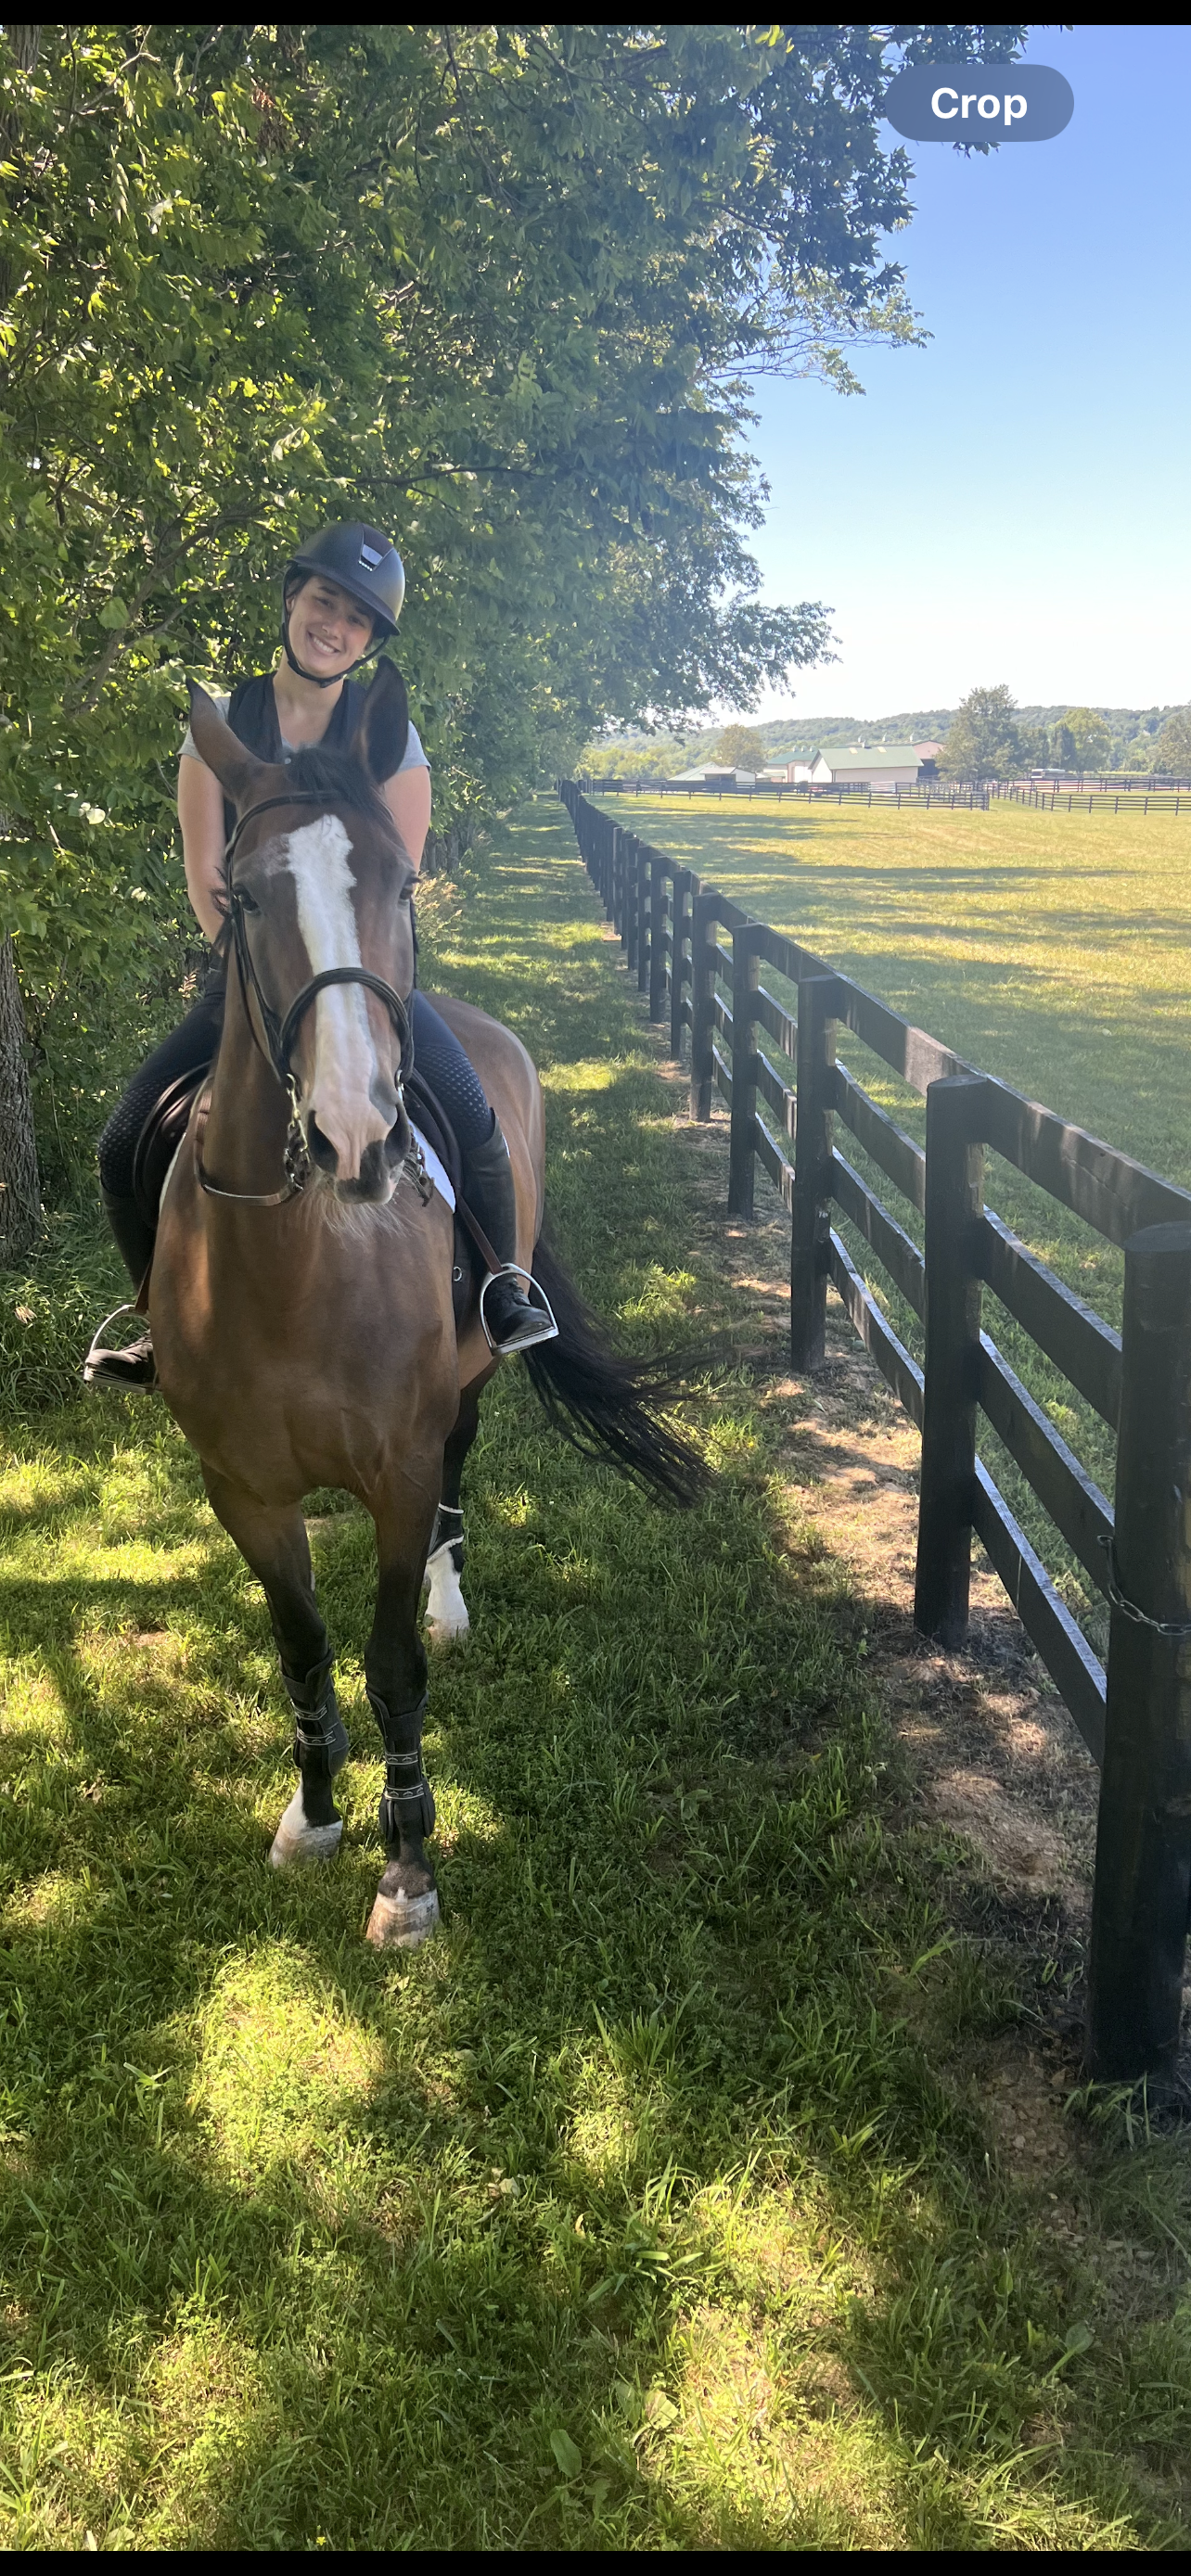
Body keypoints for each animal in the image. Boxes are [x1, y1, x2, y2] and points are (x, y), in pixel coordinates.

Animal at [151, 674, 700, 1937]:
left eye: (400, 882)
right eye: (245, 896)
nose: (353, 1135)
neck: (294, 1267)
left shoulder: (396, 1471)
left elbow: (394, 1660)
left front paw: (407, 1867)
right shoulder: (241, 1489)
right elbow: (303, 1649)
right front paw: (314, 1811)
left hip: (474, 1374)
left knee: (463, 1463)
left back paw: (454, 1599)